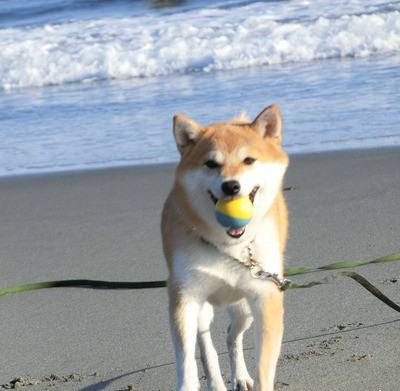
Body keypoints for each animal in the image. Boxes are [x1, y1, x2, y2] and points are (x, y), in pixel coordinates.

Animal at [161, 105, 290, 391]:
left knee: (232, 336)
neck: (229, 246)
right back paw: (217, 382)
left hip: (243, 309)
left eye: (249, 160)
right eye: (211, 163)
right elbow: (186, 358)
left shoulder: (266, 297)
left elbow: (264, 366)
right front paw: (188, 384)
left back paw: (240, 377)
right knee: (206, 346)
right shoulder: (185, 296)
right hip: (202, 307)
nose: (231, 185)